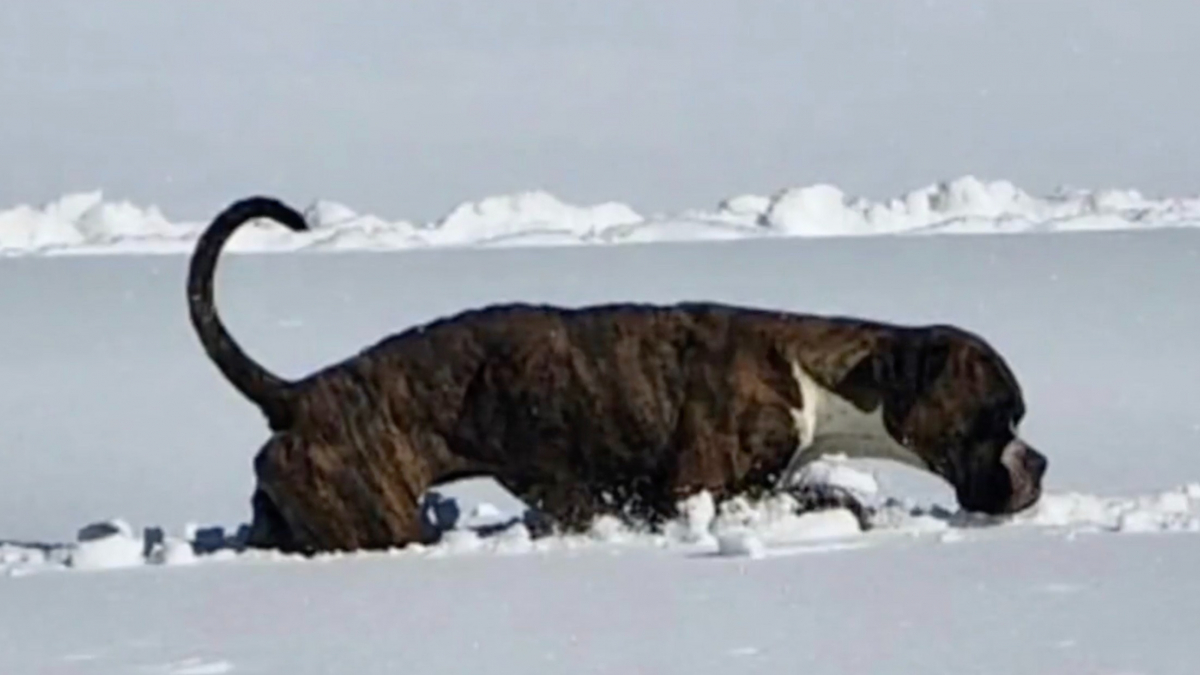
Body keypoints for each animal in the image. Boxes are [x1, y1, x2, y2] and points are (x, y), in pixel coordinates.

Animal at [187, 194, 1051, 552]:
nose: (1036, 461)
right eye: (999, 416)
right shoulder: (700, 486)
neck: (818, 375)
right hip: (376, 512)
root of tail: (300, 393)